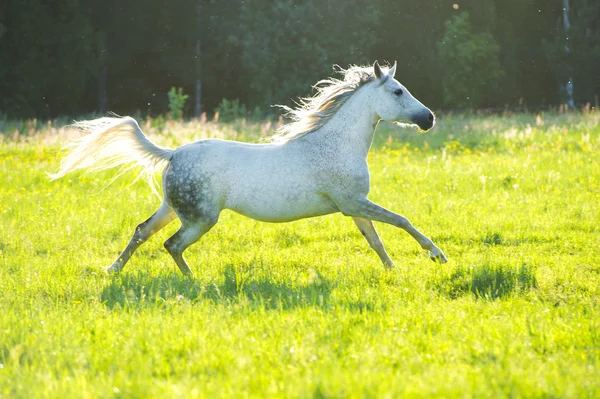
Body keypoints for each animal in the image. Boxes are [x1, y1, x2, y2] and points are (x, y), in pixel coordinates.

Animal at [52, 61, 446, 276]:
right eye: (398, 91)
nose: (429, 119)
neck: (335, 144)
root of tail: (172, 154)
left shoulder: (352, 207)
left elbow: (376, 241)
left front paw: (393, 272)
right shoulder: (353, 202)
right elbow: (401, 220)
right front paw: (437, 255)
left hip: (172, 209)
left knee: (141, 232)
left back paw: (112, 270)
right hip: (201, 219)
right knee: (171, 244)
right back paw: (194, 282)